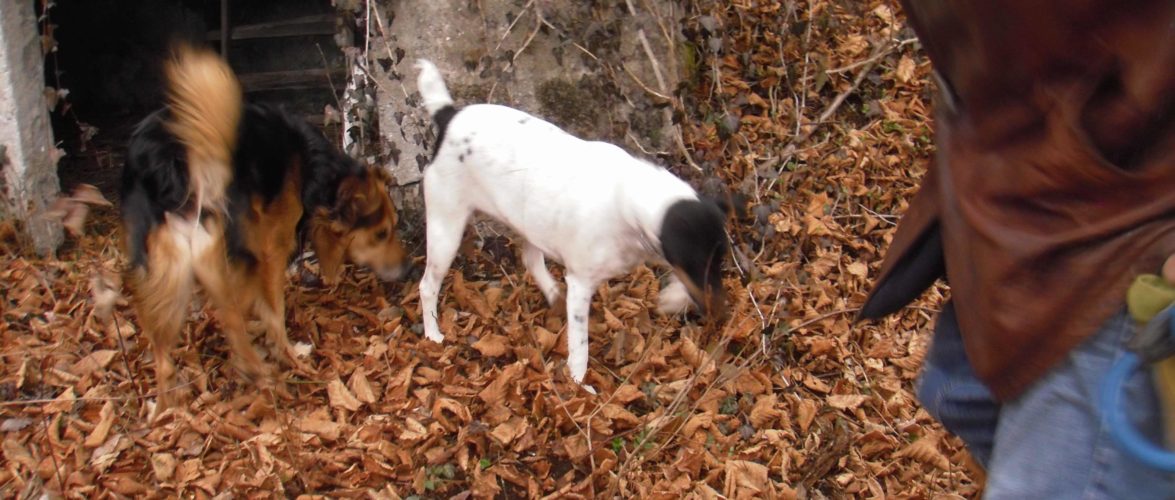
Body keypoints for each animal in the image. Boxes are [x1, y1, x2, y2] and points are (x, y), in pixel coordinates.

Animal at [119, 44, 404, 408]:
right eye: (382, 233)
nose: (410, 270)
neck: (311, 171)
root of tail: (170, 159)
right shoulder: (271, 250)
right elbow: (272, 312)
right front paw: (285, 350)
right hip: (219, 255)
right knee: (229, 319)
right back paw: (265, 373)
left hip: (168, 263)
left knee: (163, 343)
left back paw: (168, 404)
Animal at [413, 60, 723, 389]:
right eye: (699, 262)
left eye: (720, 261)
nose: (722, 314)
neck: (627, 196)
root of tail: (449, 116)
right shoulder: (581, 284)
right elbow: (580, 347)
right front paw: (578, 384)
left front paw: (673, 298)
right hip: (446, 229)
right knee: (428, 285)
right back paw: (433, 334)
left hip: (528, 218)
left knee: (530, 259)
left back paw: (552, 294)